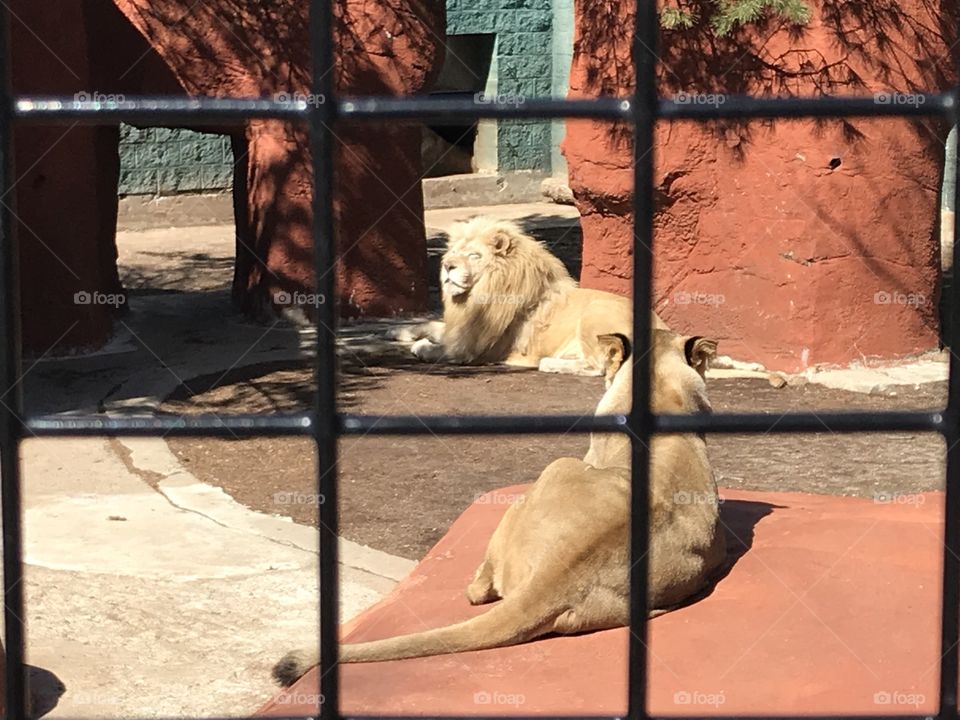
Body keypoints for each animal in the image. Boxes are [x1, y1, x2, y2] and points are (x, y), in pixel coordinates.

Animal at [392, 216, 668, 371]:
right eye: (453, 253)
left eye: (474, 255)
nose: (448, 266)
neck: (475, 296)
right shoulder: (462, 328)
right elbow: (433, 324)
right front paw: (399, 331)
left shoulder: (469, 349)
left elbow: (438, 349)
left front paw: (420, 346)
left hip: (595, 312)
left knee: (601, 366)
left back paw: (547, 363)